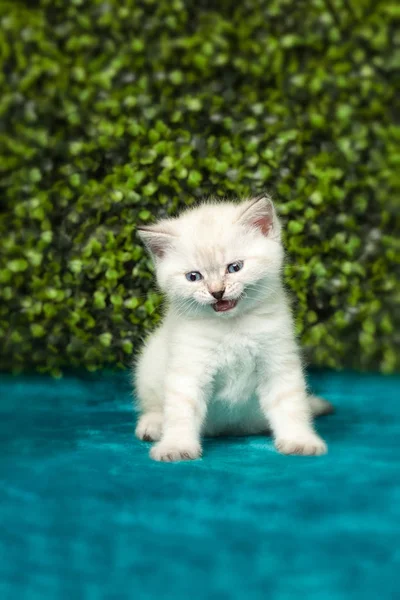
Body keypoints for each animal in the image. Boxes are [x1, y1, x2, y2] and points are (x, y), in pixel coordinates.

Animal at [133, 197, 332, 464]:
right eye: (193, 276)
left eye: (234, 267)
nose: (217, 292)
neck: (232, 326)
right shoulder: (189, 367)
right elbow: (181, 410)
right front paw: (175, 446)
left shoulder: (277, 361)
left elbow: (290, 404)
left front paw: (299, 440)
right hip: (148, 366)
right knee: (153, 405)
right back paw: (153, 425)